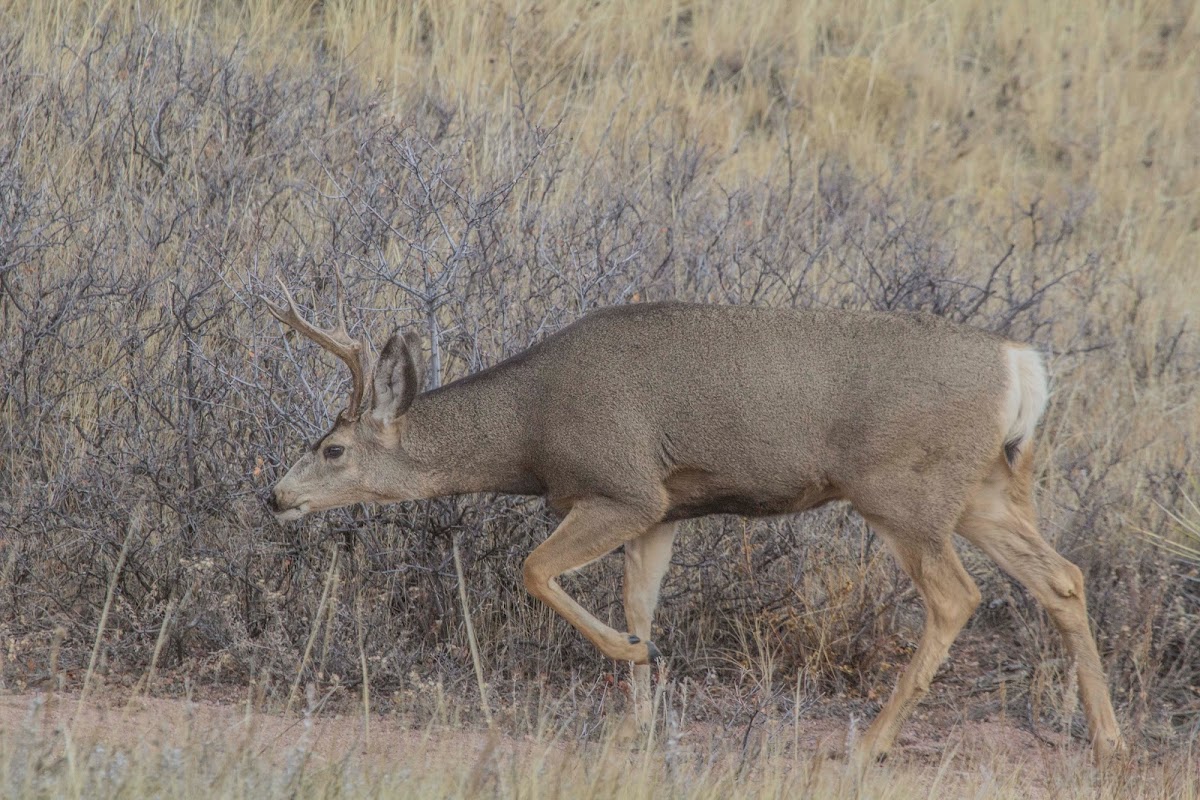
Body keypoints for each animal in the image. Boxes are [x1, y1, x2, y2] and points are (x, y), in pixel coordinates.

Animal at [262, 277, 1123, 767]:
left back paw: (871, 746)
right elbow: (639, 600)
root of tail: (1021, 365)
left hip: (903, 491)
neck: (531, 426)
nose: (275, 496)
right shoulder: (664, 509)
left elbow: (536, 571)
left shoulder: (623, 488)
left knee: (957, 597)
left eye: (332, 448)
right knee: (1062, 578)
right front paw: (637, 721)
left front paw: (631, 658)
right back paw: (1109, 743)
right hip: (985, 488)